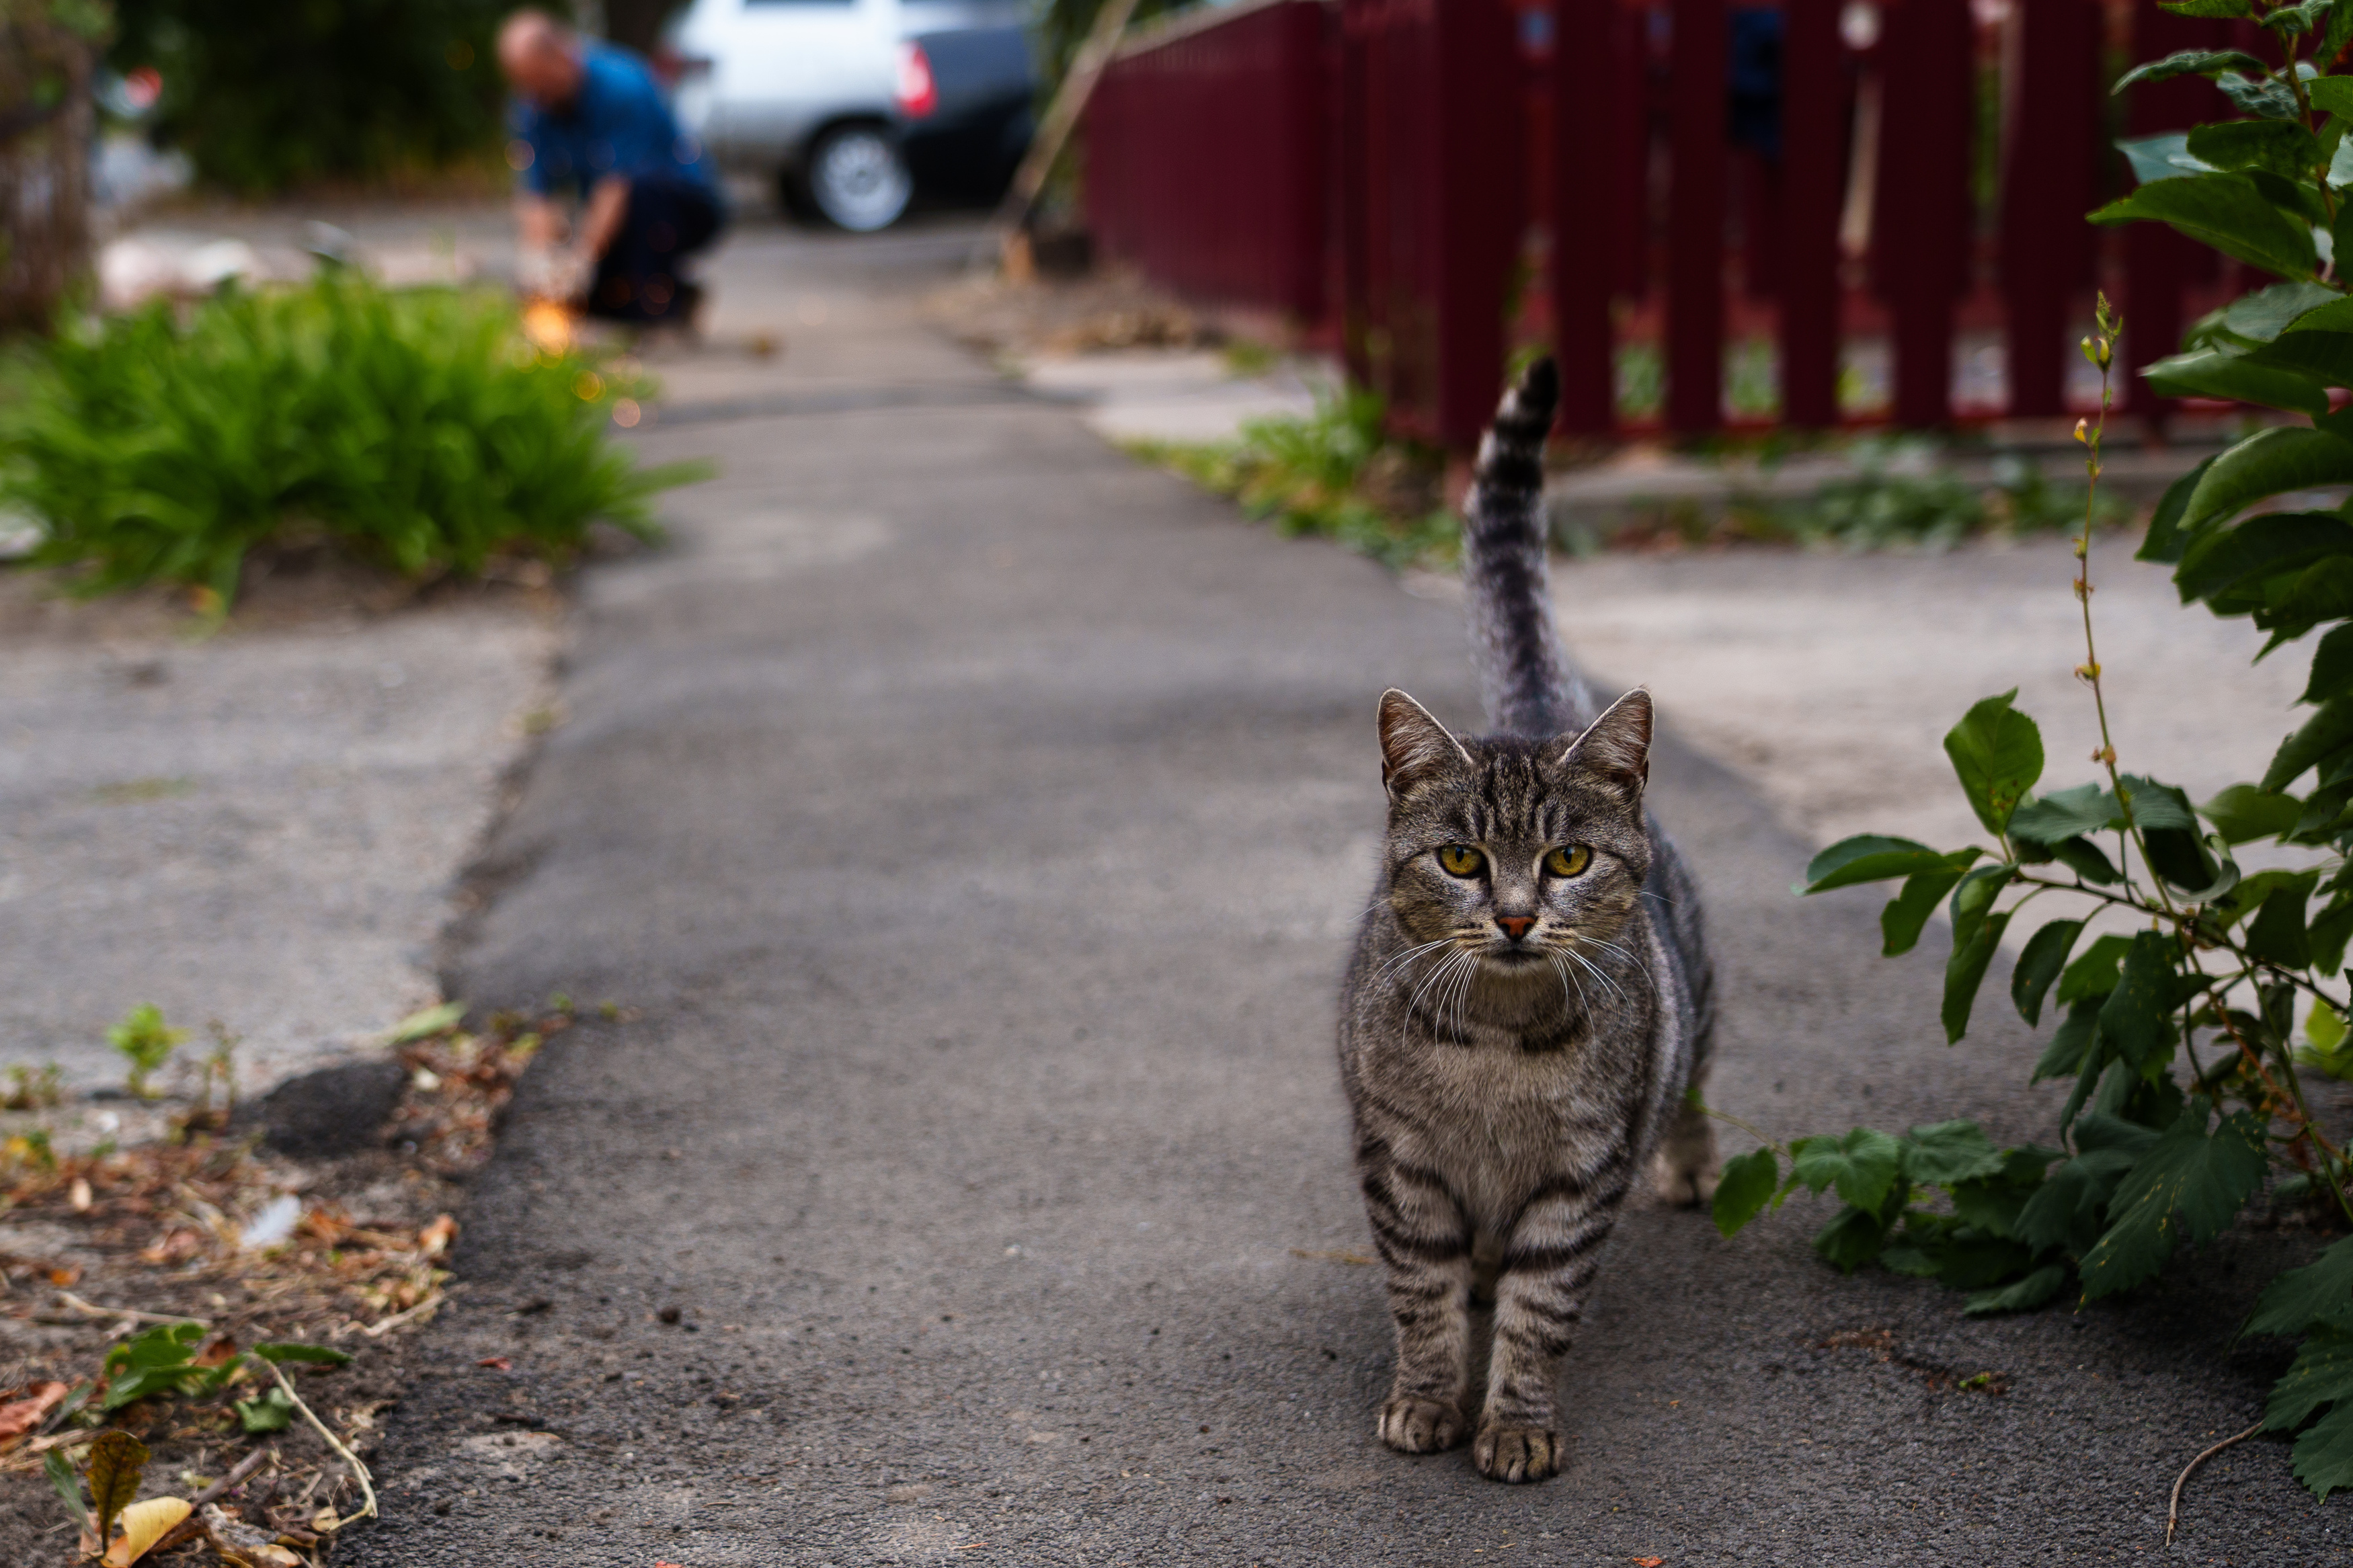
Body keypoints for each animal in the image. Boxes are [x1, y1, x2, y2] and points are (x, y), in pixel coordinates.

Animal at [1346, 355, 1713, 1485]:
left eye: (1567, 860)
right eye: (1463, 859)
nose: (1513, 920)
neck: (1499, 1054)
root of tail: (1540, 717)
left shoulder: (1578, 1177)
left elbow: (1540, 1311)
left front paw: (1514, 1423)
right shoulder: (1404, 1168)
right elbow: (1421, 1298)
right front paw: (1428, 1400)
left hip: (1695, 1009)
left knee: (1695, 1080)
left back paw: (1691, 1162)